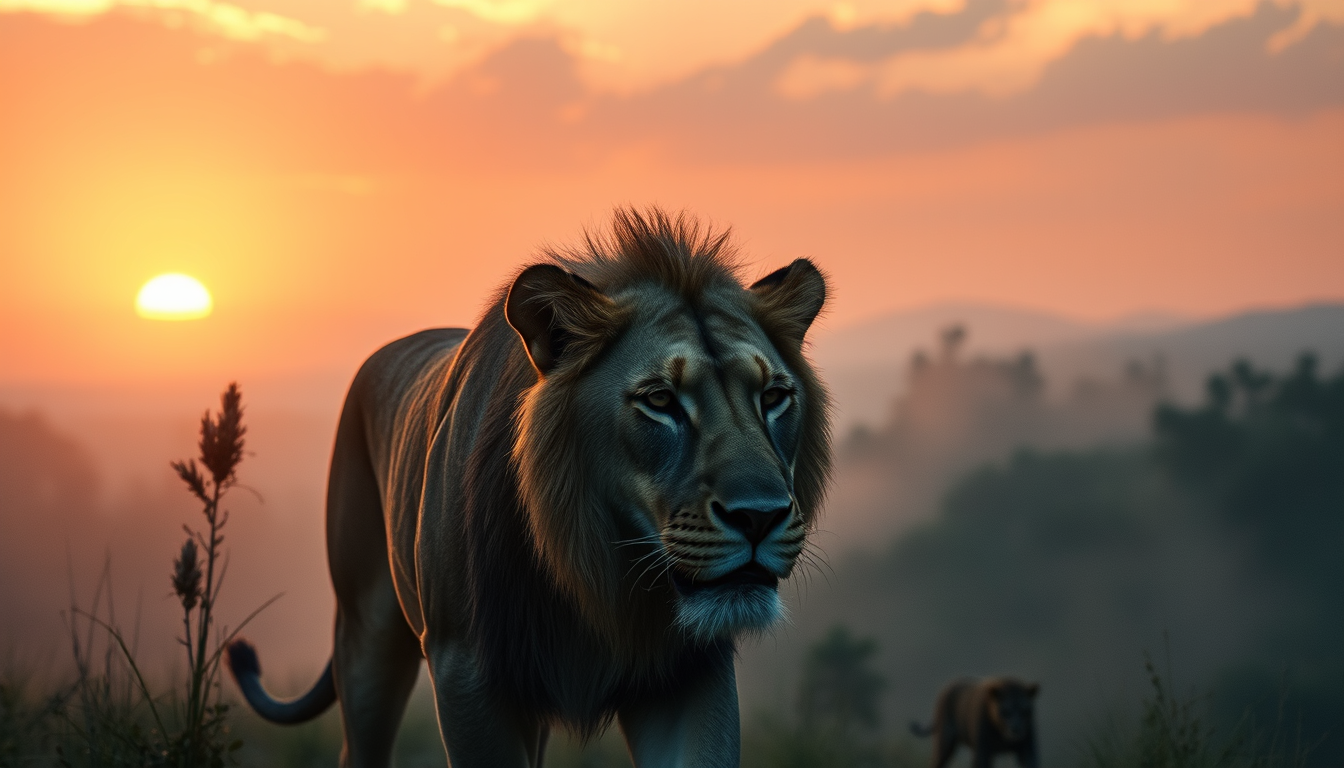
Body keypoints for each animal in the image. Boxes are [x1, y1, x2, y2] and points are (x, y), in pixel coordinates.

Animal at [226, 208, 832, 767]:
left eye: (774, 396)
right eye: (660, 400)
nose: (760, 516)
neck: (598, 574)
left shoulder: (690, 672)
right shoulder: (466, 671)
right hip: (367, 636)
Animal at [910, 677, 1040, 768]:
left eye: (1024, 710)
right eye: (1006, 711)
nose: (1016, 728)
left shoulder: (1028, 750)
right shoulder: (983, 751)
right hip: (945, 743)